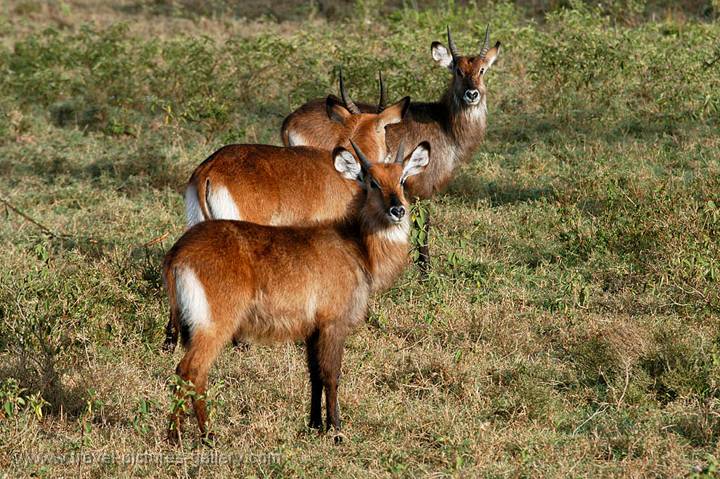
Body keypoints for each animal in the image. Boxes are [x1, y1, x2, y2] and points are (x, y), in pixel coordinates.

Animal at [165, 139, 428, 442]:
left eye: (402, 179)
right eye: (373, 182)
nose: (398, 210)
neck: (358, 248)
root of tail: (177, 252)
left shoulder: (312, 328)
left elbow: (313, 373)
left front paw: (314, 424)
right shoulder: (333, 323)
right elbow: (331, 375)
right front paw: (336, 430)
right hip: (215, 326)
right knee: (191, 370)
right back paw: (198, 435)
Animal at [280, 26, 500, 272]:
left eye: (482, 70)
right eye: (458, 71)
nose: (472, 94)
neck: (445, 125)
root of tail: (290, 120)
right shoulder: (423, 189)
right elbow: (423, 229)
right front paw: (425, 270)